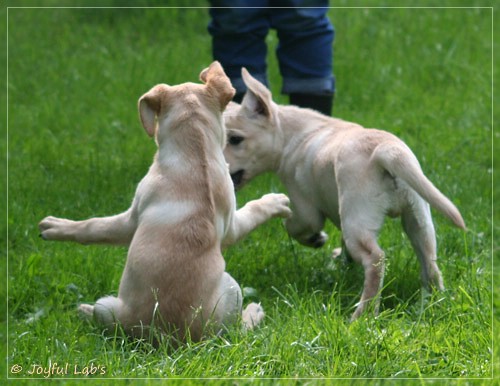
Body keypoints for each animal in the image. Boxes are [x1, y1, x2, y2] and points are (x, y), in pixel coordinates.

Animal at [40, 61, 292, 342]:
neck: (196, 151)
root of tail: (168, 337)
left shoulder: (133, 218)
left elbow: (94, 226)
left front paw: (55, 226)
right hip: (108, 306)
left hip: (230, 286)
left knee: (239, 327)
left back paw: (254, 311)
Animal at [223, 68, 464, 322]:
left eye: (235, 139)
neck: (293, 134)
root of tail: (386, 150)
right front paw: (340, 260)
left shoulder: (305, 207)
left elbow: (295, 226)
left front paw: (316, 239)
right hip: (417, 217)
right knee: (430, 263)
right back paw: (433, 303)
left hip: (357, 221)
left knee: (376, 259)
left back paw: (362, 316)